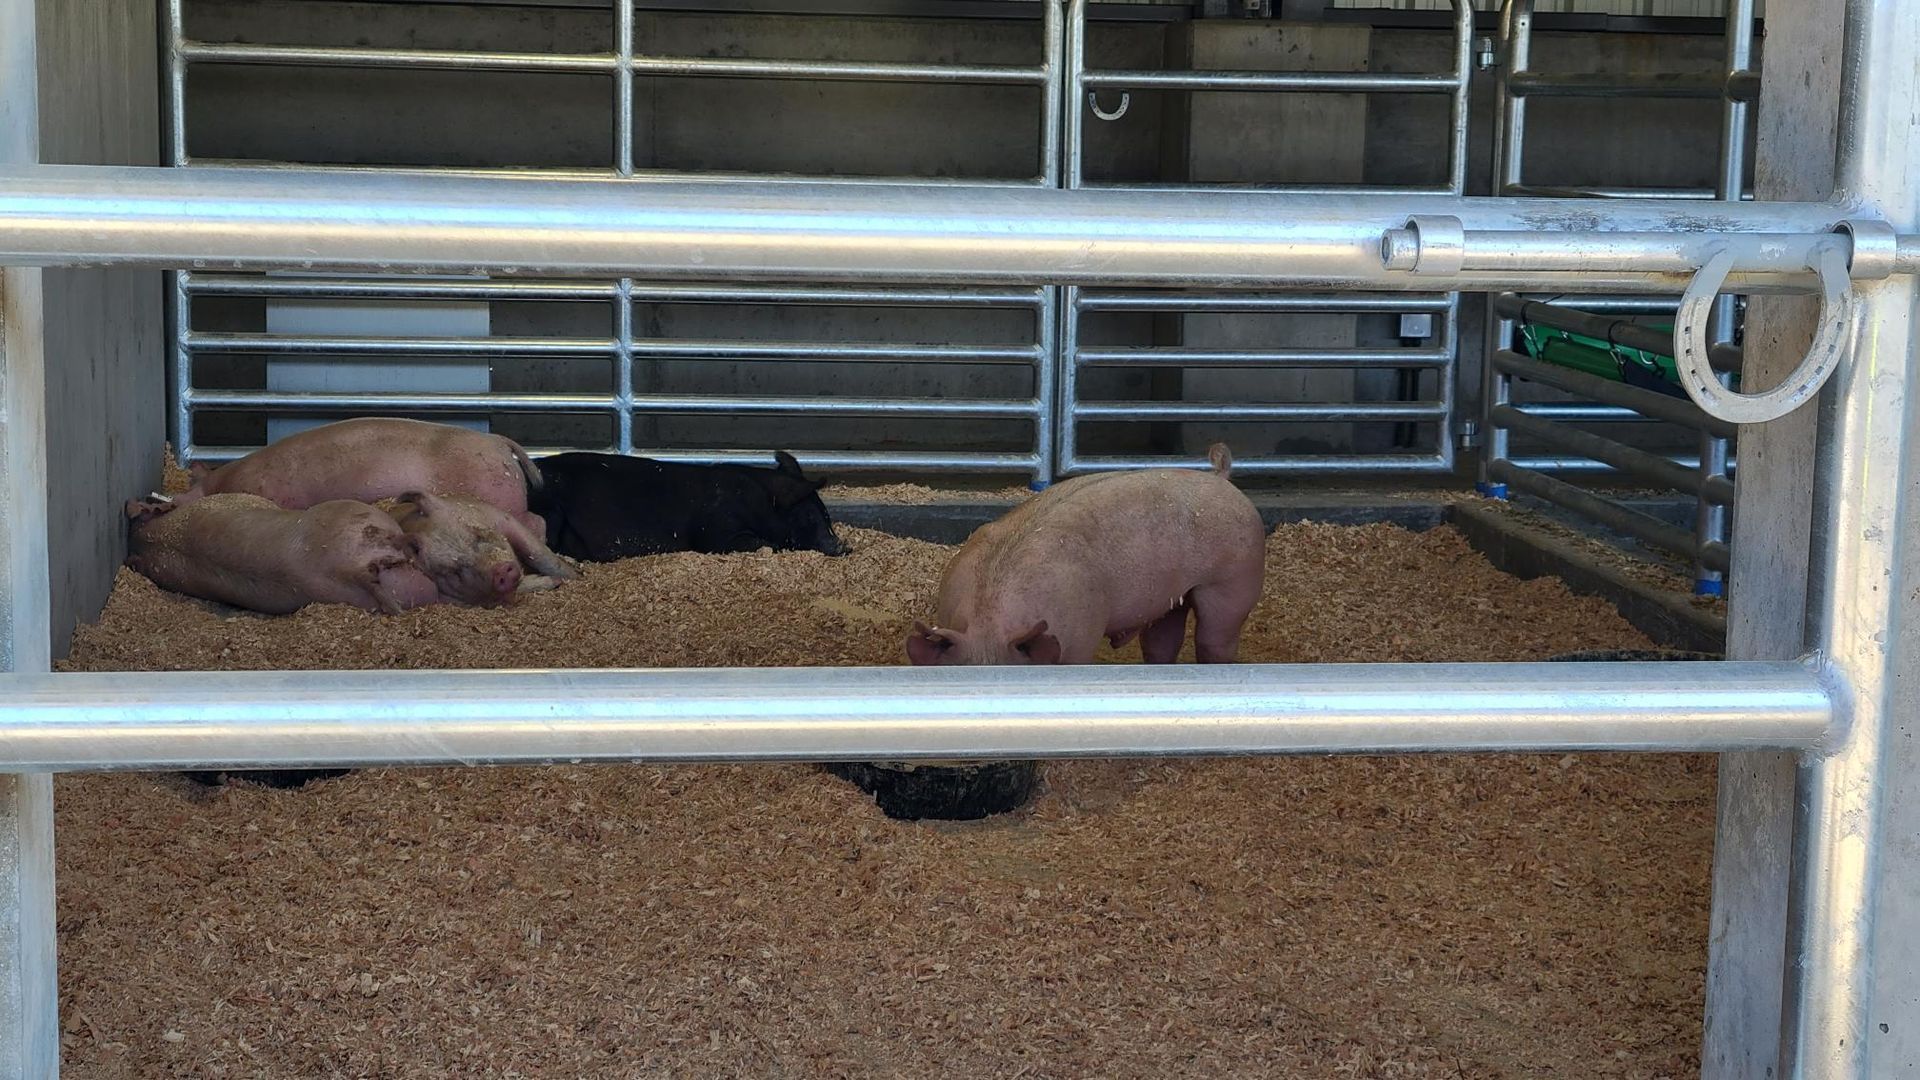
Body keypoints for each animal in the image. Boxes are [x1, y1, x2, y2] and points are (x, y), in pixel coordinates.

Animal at [389, 491, 578, 607]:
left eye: (477, 535)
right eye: (455, 572)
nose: (501, 571)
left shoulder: (503, 518)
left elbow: (539, 554)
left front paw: (576, 577)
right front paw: (554, 582)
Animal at [530, 451, 844, 561]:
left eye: (826, 513)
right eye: (808, 515)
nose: (844, 546)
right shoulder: (717, 531)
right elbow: (762, 544)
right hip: (550, 509)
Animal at [906, 444, 1265, 667]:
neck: (989, 621)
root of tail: (1220, 477)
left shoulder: (1083, 636)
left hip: (1234, 579)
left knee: (1216, 638)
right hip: (1172, 597)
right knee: (1163, 637)